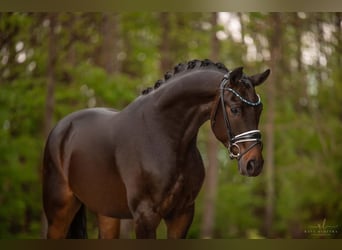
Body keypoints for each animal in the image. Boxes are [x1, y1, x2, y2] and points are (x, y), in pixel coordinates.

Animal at [42, 59, 270, 238]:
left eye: (259, 110)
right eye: (235, 109)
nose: (254, 163)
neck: (163, 135)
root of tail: (62, 128)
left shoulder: (182, 214)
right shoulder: (145, 217)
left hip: (106, 212)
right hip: (59, 212)